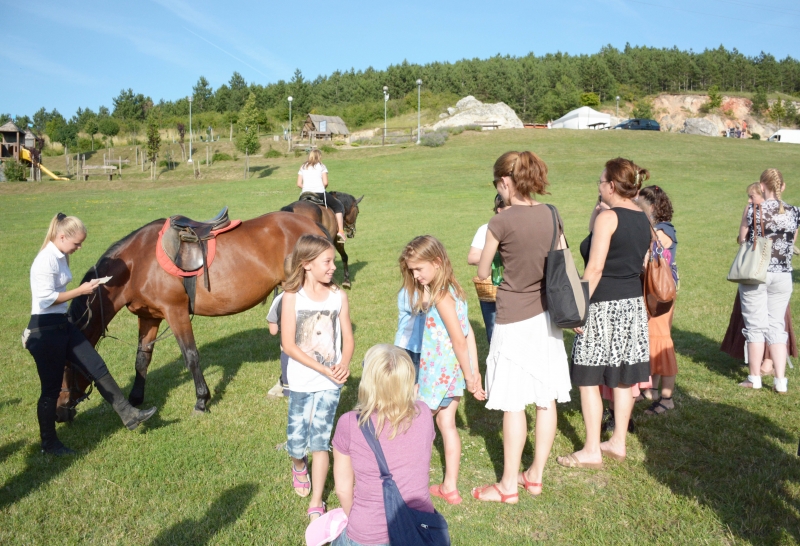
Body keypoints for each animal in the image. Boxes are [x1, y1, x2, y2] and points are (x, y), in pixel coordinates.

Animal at [64, 210, 324, 410]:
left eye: (65, 367)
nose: (61, 411)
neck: (137, 264)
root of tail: (313, 225)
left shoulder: (175, 312)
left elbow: (190, 356)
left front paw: (201, 399)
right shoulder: (148, 317)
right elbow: (142, 358)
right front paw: (136, 398)